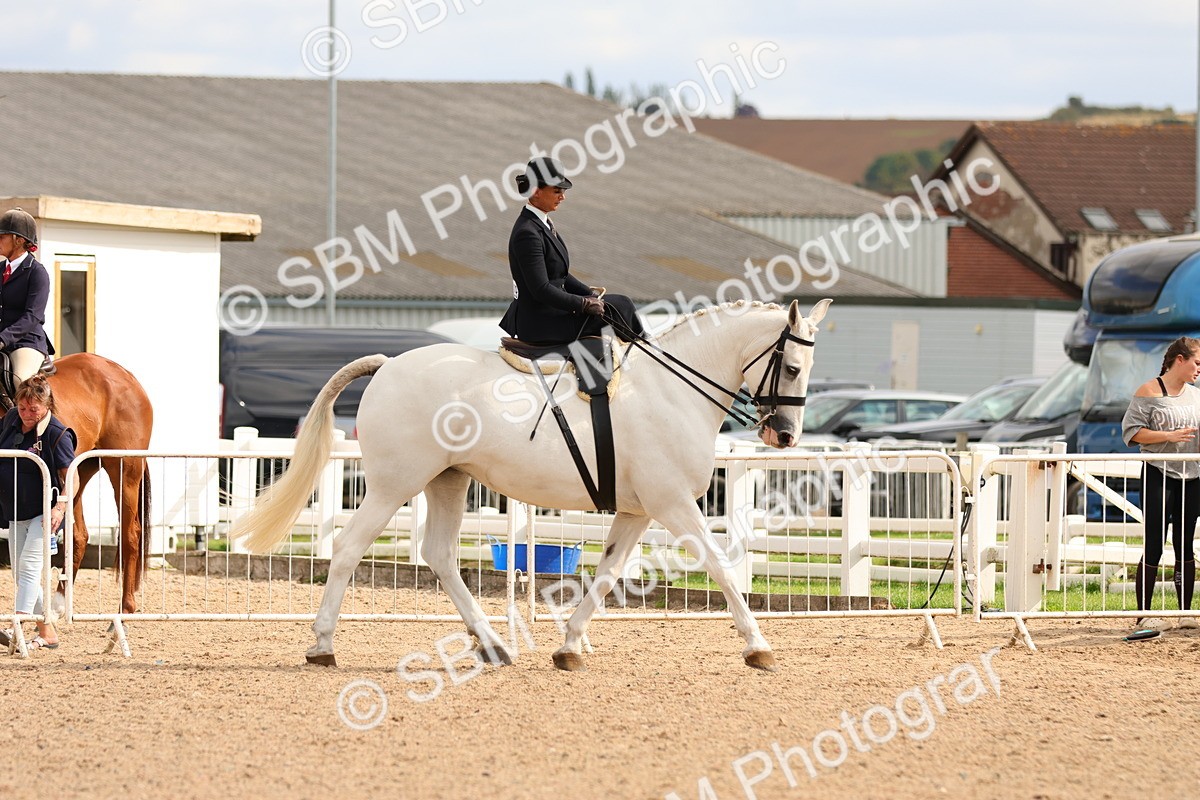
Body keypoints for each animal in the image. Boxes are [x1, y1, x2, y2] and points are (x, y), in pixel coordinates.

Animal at [40, 353, 154, 615]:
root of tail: (128, 375)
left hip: (124, 471)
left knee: (131, 533)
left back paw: (126, 607)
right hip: (77, 472)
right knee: (79, 536)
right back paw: (59, 603)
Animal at [231, 298, 830, 671]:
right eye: (792, 368)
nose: (784, 435)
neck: (674, 390)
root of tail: (388, 365)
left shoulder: (638, 510)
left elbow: (606, 573)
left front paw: (570, 647)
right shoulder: (674, 503)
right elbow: (723, 568)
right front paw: (758, 646)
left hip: (447, 481)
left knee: (439, 554)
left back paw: (493, 645)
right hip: (392, 484)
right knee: (350, 549)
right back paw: (322, 646)